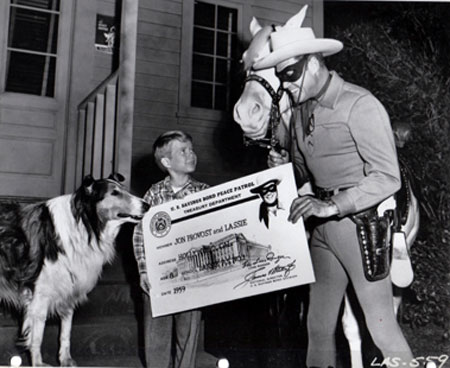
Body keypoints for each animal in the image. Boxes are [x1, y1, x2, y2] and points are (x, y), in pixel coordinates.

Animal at [0, 174, 151, 366]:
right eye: (115, 193)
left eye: (124, 189)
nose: (147, 205)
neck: (84, 225)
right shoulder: (40, 296)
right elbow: (37, 336)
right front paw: (38, 363)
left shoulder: (70, 291)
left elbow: (66, 332)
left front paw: (65, 360)